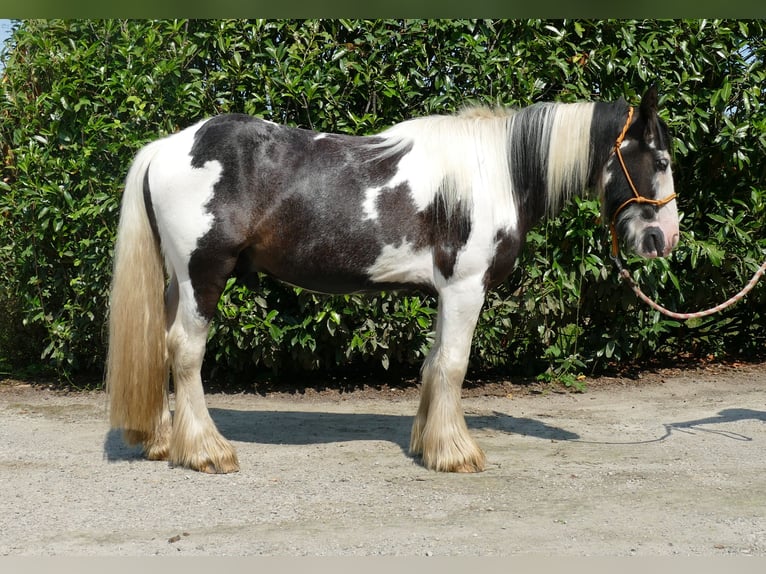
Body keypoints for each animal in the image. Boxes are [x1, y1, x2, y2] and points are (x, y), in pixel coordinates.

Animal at [105, 85, 680, 472]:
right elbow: (454, 365)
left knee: (162, 345)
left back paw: (164, 442)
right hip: (203, 275)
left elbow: (434, 364)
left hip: (177, 282)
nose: (663, 239)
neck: (495, 172)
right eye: (662, 159)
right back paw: (206, 451)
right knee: (185, 352)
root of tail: (166, 147)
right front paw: (456, 453)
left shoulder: (447, 293)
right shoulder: (466, 287)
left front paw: (431, 443)